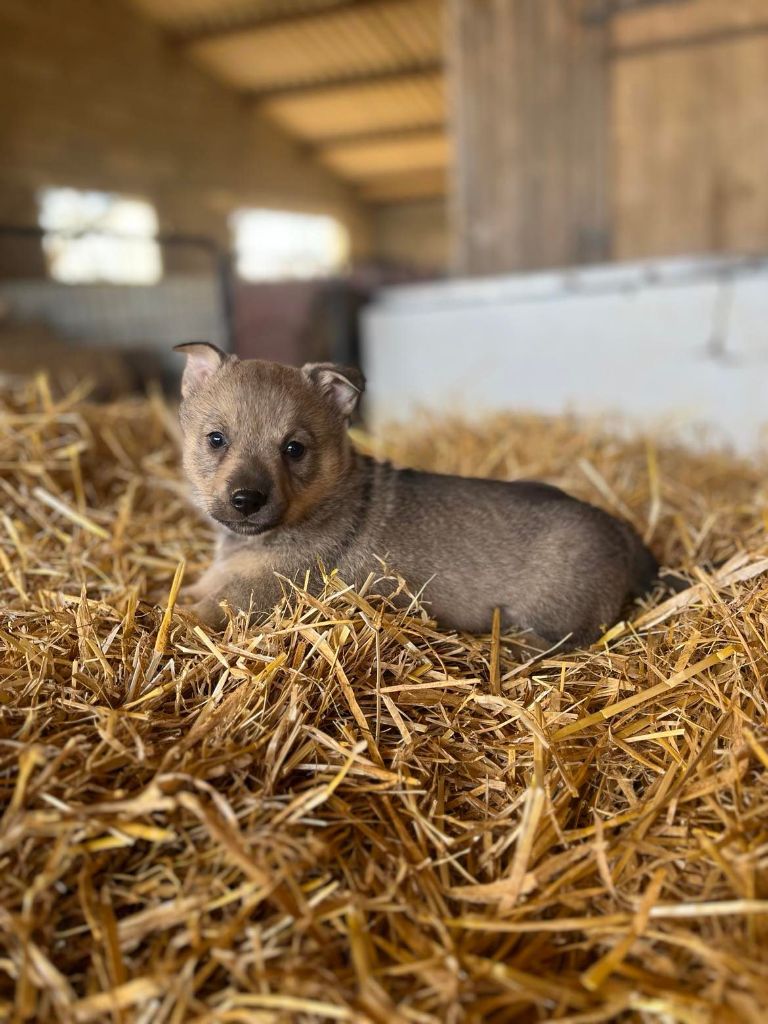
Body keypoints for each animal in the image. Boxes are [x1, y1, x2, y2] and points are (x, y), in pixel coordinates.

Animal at [176, 344, 663, 647]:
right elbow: (185, 591)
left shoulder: (254, 595)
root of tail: (625, 537)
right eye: (216, 439)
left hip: (553, 615)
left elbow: (197, 613)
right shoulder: (217, 579)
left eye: (294, 449)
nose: (246, 500)